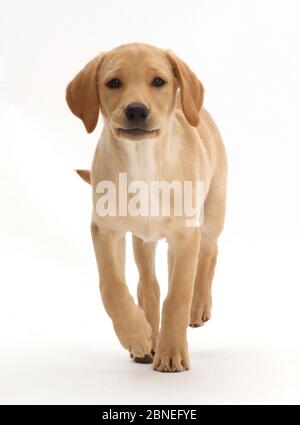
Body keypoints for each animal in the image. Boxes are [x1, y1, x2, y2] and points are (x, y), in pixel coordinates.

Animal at [66, 43, 227, 372]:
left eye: (158, 81)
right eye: (114, 82)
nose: (136, 110)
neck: (142, 160)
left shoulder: (185, 235)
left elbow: (178, 295)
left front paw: (173, 351)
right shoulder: (105, 230)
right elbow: (112, 286)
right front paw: (137, 334)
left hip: (213, 211)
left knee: (208, 251)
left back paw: (198, 306)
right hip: (144, 240)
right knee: (148, 283)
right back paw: (148, 336)